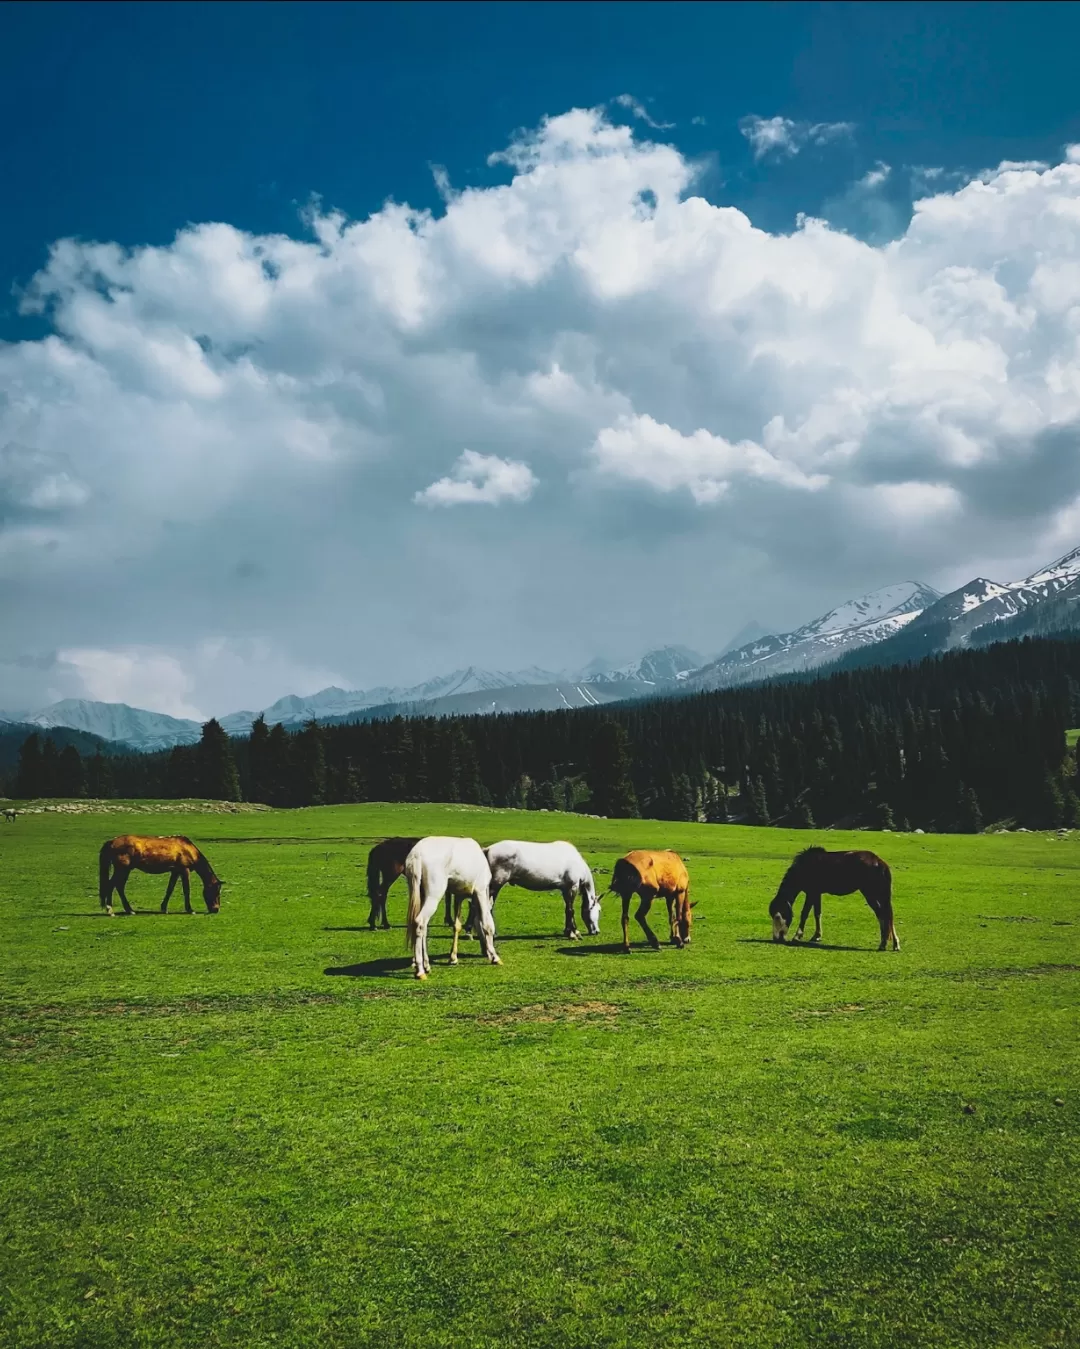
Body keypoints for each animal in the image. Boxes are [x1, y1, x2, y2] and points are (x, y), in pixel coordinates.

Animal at [404, 830, 501, 982]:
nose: (484, 952)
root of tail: (416, 855)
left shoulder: (458, 895)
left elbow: (457, 925)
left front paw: (453, 958)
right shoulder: (480, 890)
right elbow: (487, 924)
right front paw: (495, 957)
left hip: (417, 891)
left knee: (422, 926)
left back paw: (426, 965)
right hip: (434, 894)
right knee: (420, 923)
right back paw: (420, 970)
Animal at [765, 841, 900, 949]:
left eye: (778, 916)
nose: (776, 938)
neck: (804, 867)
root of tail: (880, 862)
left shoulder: (811, 893)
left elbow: (805, 913)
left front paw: (797, 936)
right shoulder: (816, 893)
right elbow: (817, 913)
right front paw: (817, 936)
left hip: (870, 893)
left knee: (883, 914)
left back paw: (883, 943)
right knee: (887, 914)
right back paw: (894, 944)